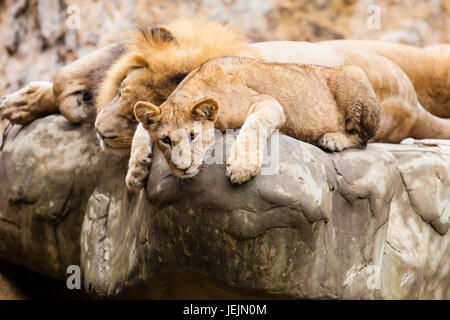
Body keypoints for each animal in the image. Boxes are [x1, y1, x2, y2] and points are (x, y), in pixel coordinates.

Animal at [133, 56, 380, 184]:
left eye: (193, 136)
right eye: (166, 140)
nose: (182, 168)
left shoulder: (270, 103)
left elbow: (253, 125)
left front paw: (242, 166)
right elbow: (139, 128)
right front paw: (136, 172)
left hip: (353, 72)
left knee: (363, 138)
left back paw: (332, 139)